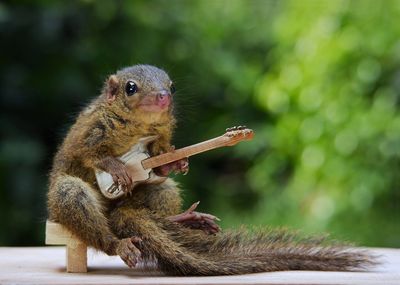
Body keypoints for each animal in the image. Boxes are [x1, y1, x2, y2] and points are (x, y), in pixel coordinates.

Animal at [47, 65, 376, 276]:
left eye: (172, 86)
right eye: (131, 88)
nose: (164, 97)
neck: (138, 128)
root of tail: (119, 214)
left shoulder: (159, 139)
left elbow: (160, 161)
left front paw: (176, 163)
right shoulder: (90, 131)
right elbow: (89, 153)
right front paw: (117, 167)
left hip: (157, 193)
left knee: (161, 191)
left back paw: (186, 220)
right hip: (68, 197)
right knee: (97, 230)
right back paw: (120, 243)